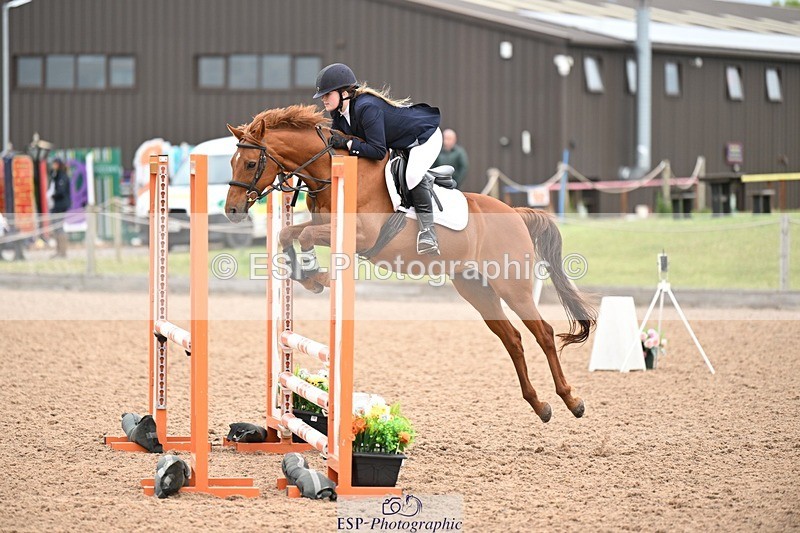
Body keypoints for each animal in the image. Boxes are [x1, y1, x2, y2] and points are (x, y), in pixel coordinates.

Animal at [225, 105, 596, 423]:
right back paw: (540, 406)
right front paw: (309, 275)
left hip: (512, 287)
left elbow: (302, 236)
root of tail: (516, 214)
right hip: (477, 290)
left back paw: (572, 401)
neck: (329, 171)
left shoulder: (360, 234)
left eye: (249, 163)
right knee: (513, 340)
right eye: (231, 162)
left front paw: (317, 274)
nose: (231, 210)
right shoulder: (325, 226)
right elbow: (287, 232)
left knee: (543, 333)